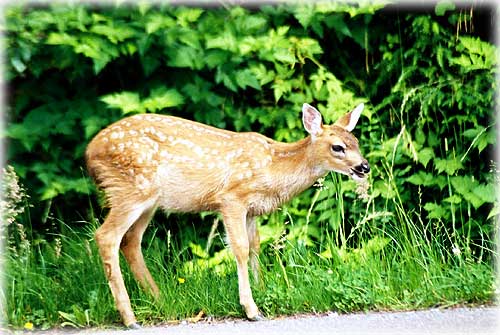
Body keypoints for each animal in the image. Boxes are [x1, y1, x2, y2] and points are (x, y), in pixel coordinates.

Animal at [84, 102, 370, 328]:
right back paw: (130, 318)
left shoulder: (253, 210)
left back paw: (160, 300)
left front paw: (262, 289)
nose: (364, 167)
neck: (273, 167)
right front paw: (251, 309)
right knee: (106, 236)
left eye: (356, 142)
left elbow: (255, 247)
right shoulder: (231, 199)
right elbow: (240, 248)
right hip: (130, 189)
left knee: (130, 241)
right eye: (337, 147)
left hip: (148, 201)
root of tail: (90, 152)